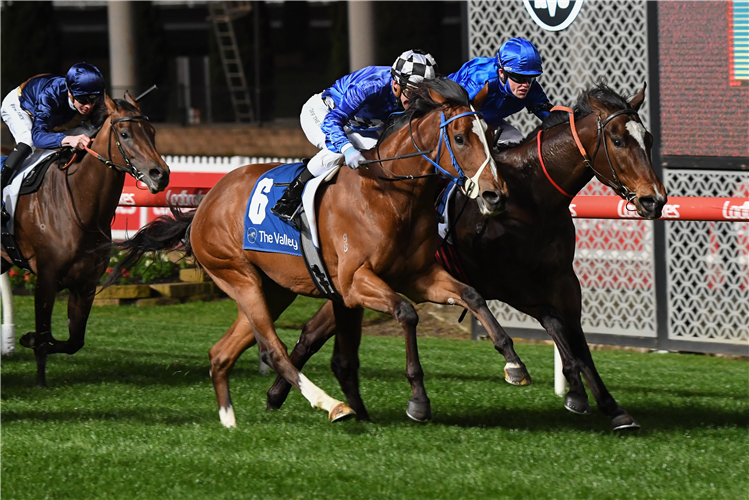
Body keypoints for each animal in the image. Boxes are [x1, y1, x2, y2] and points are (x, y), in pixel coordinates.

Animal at [1, 95, 168, 388]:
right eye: (124, 134)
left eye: (152, 133)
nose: (161, 174)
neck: (77, 204)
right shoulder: (46, 279)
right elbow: (44, 336)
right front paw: (40, 379)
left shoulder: (86, 284)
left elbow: (73, 341)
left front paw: (30, 339)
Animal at [109, 78, 532, 426]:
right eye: (460, 138)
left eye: (490, 133)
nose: (495, 195)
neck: (390, 192)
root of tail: (205, 203)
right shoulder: (354, 282)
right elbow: (406, 313)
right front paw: (418, 400)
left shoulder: (417, 275)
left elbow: (472, 295)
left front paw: (514, 364)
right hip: (238, 277)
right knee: (272, 348)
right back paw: (332, 406)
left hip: (273, 288)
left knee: (221, 352)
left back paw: (230, 420)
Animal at [262, 82, 668, 430]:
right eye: (618, 140)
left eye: (647, 139)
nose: (655, 200)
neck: (531, 196)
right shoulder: (503, 281)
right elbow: (556, 324)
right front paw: (575, 391)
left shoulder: (562, 278)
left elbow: (576, 337)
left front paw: (611, 407)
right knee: (314, 330)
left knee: (316, 328)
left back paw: (282, 394)